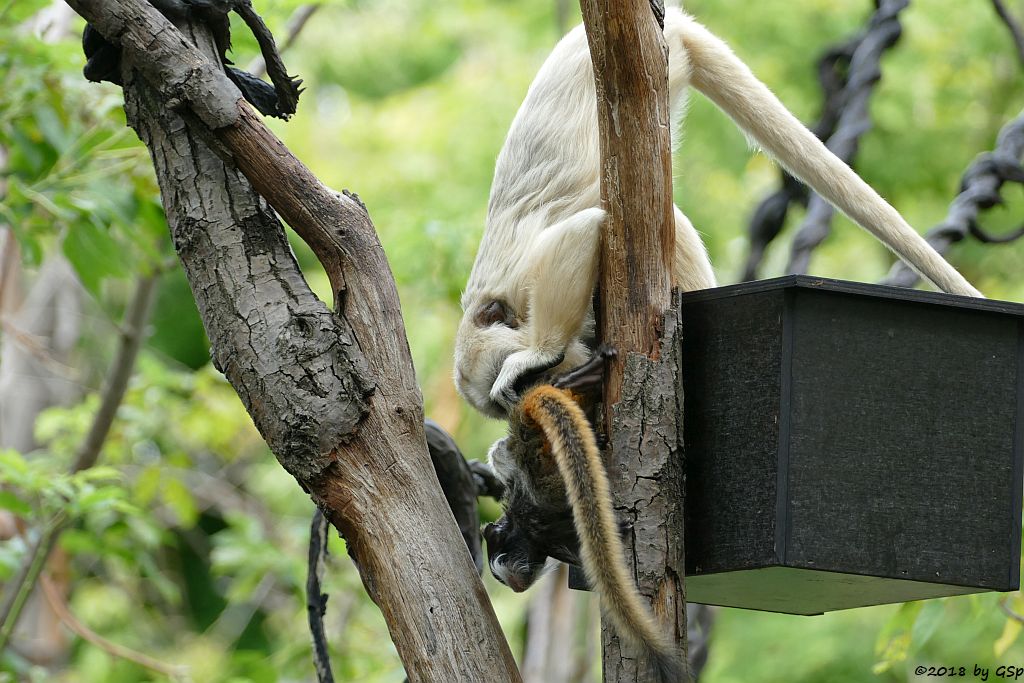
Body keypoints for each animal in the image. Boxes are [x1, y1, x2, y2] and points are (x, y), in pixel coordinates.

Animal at [456, 9, 983, 417]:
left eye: (526, 384)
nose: (539, 384)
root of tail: (678, 23)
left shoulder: (517, 274)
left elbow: (585, 230)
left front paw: (540, 352)